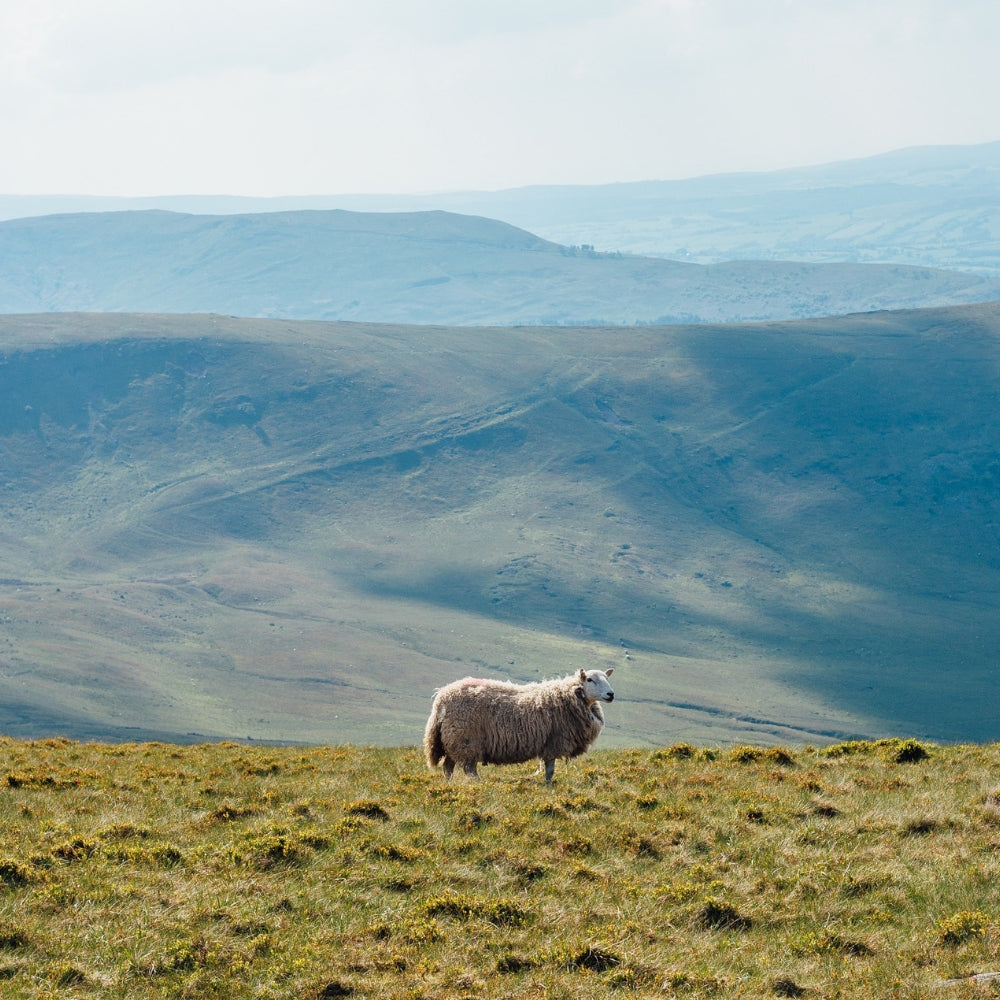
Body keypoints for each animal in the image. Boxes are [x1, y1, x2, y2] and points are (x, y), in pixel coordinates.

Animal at [423, 667, 615, 784]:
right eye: (589, 679)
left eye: (607, 678)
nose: (611, 694)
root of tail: (441, 697)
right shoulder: (554, 742)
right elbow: (550, 769)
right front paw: (549, 786)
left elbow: (549, 769)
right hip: (466, 740)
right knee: (469, 768)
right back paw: (478, 784)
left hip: (453, 741)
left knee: (448, 767)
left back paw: (451, 784)